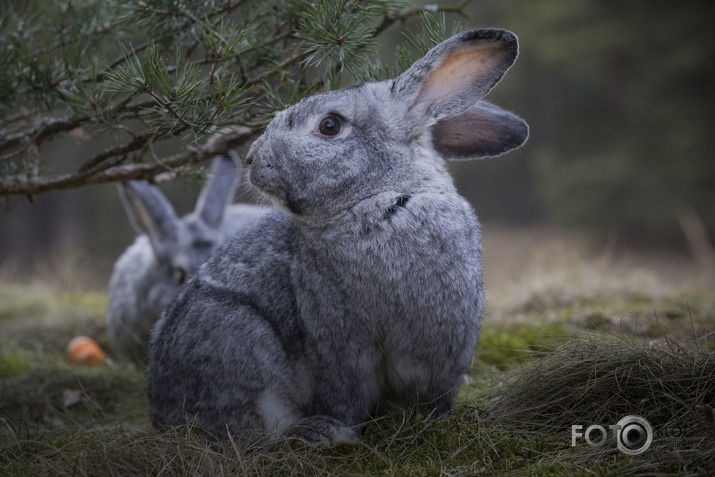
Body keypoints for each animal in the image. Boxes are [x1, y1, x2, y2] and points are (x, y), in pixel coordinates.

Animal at [147, 28, 524, 442]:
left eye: (330, 125)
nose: (252, 158)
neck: (378, 201)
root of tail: (160, 411)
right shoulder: (339, 345)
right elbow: (345, 395)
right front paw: (345, 429)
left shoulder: (442, 347)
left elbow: (433, 395)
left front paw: (437, 421)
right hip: (237, 342)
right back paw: (320, 434)